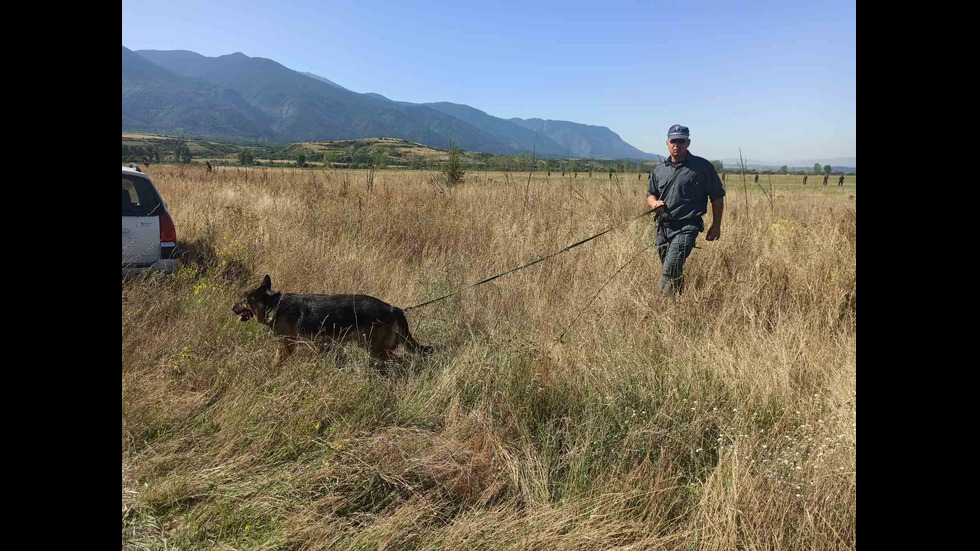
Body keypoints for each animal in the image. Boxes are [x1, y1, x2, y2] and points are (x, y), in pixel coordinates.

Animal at [234, 276, 432, 366]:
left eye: (242, 301)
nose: (231, 308)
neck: (274, 304)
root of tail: (393, 308)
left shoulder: (286, 344)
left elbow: (277, 359)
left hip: (375, 348)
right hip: (370, 346)